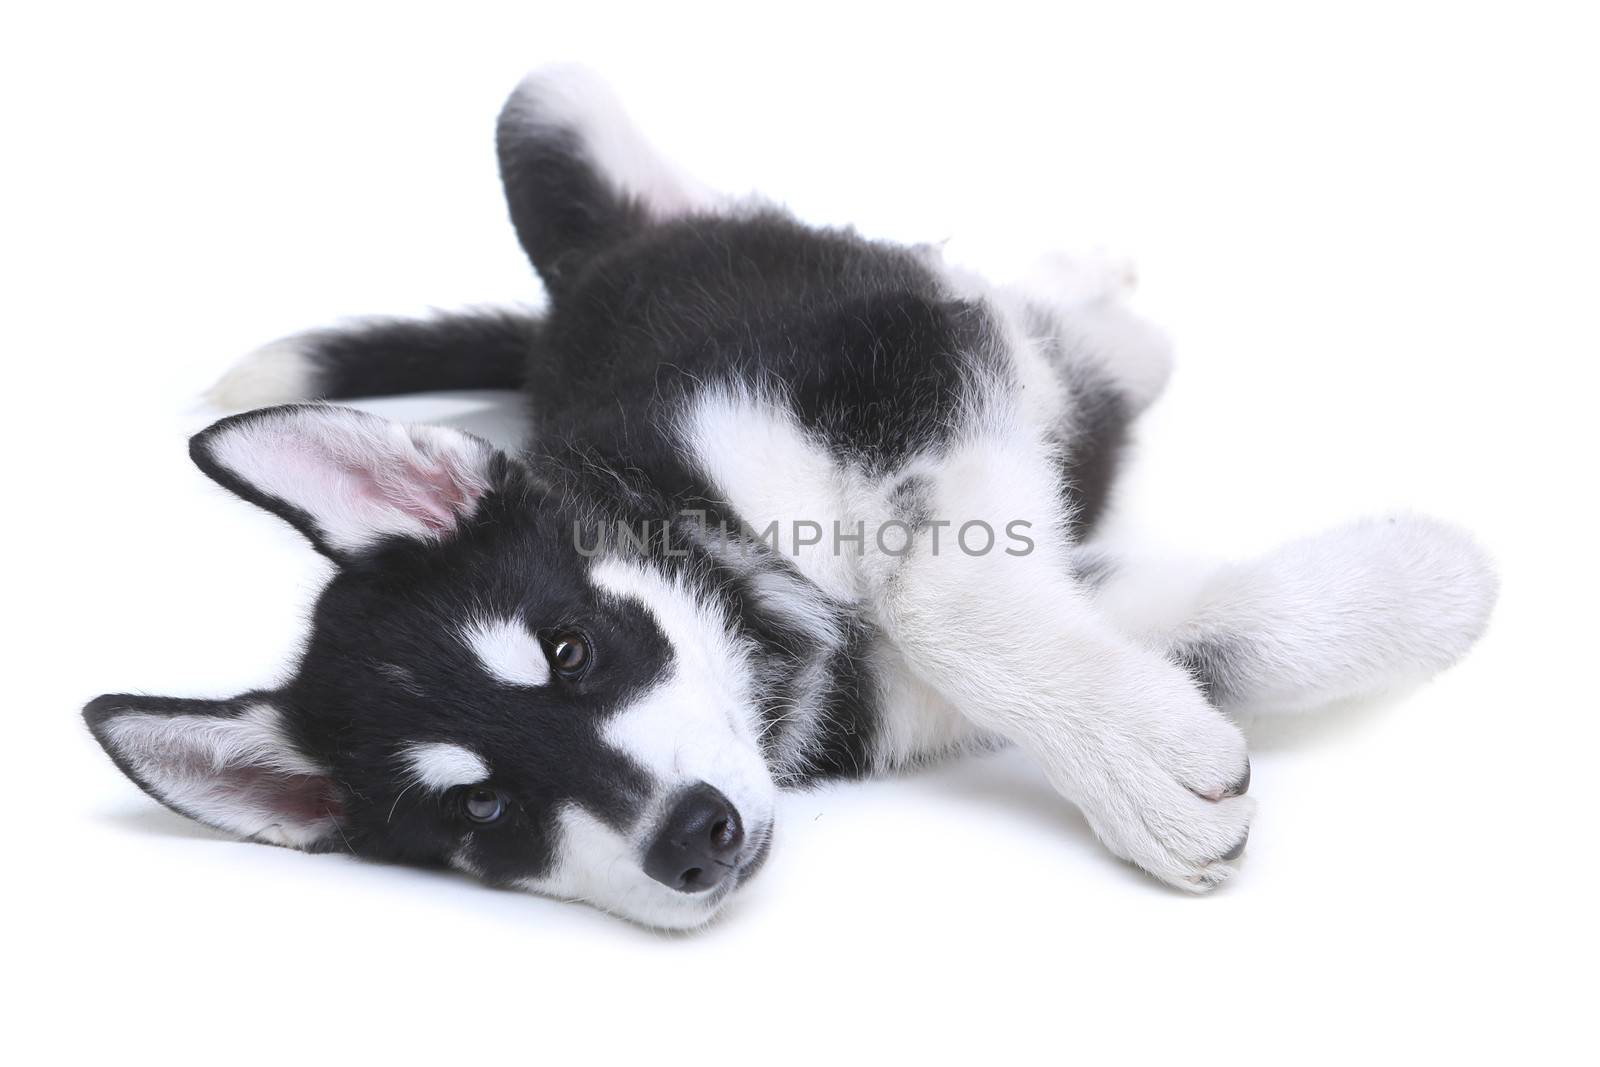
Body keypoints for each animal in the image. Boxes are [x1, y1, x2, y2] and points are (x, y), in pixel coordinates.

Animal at [78, 70, 1497, 927]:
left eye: (568, 649)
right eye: (479, 810)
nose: (693, 839)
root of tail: (570, 305)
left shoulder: (904, 372)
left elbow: (941, 589)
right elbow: (1172, 625)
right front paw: (1410, 593)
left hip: (553, 113)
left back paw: (1093, 309)